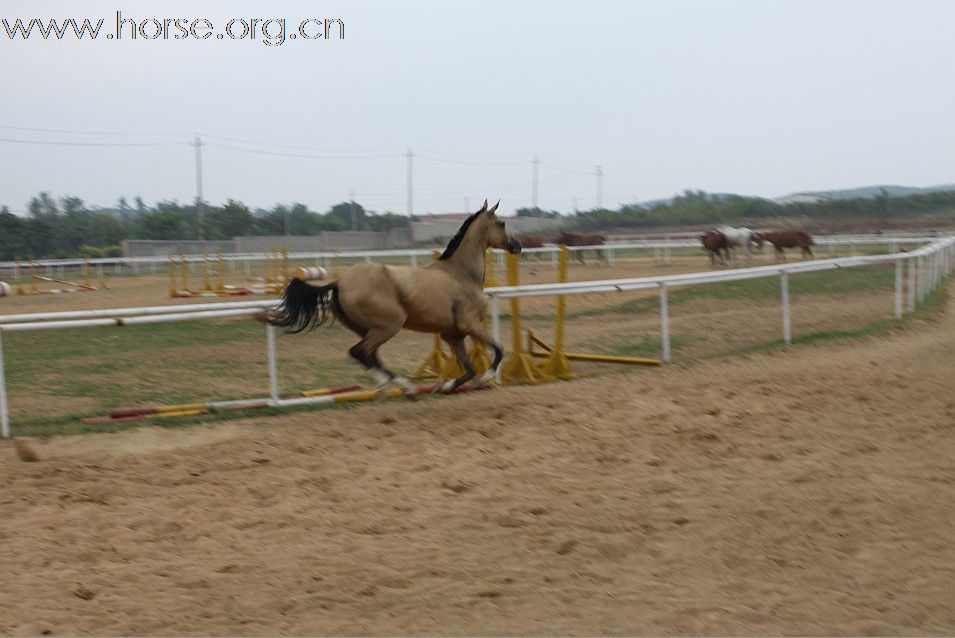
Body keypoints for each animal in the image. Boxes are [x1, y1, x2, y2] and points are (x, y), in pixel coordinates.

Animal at [268, 202, 524, 396]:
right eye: (501, 223)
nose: (518, 245)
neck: (461, 273)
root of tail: (340, 282)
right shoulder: (470, 326)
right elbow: (498, 350)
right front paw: (485, 378)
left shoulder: (454, 335)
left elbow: (469, 368)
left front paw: (446, 386)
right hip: (388, 326)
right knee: (360, 352)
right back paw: (399, 386)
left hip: (367, 329)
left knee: (369, 356)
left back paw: (397, 386)